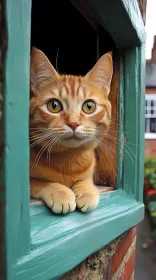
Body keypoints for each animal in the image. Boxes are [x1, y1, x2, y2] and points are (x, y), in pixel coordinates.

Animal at [29, 48, 112, 214]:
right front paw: (61, 192)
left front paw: (87, 191)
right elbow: (41, 182)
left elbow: (86, 181)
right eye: (54, 105)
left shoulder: (88, 174)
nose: (73, 123)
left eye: (89, 106)